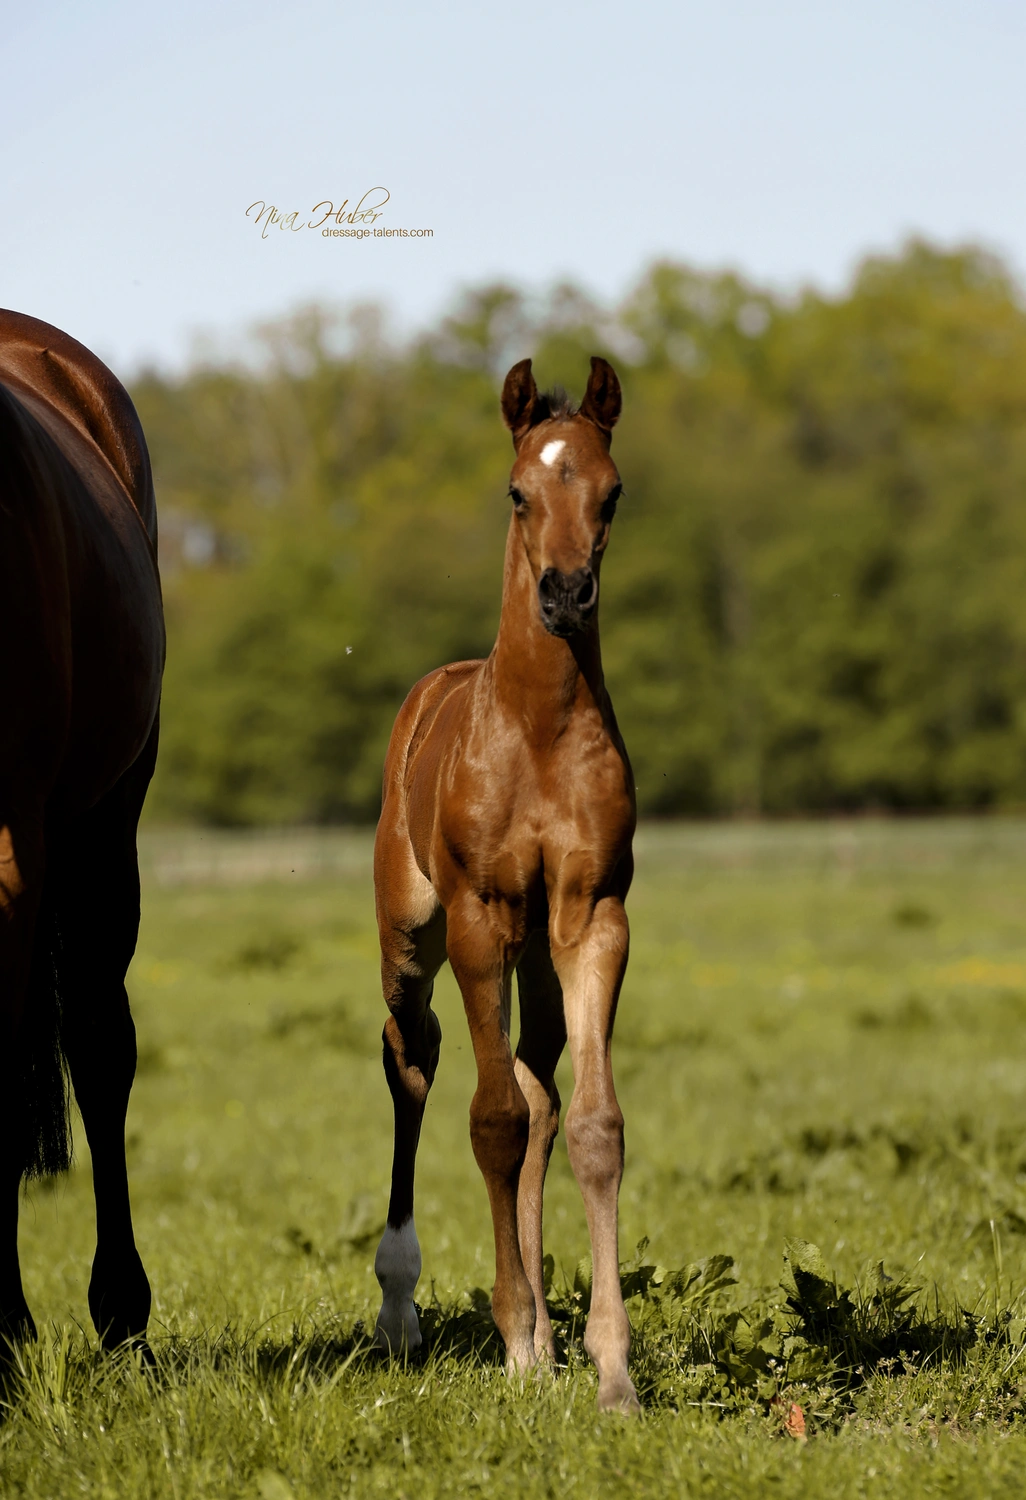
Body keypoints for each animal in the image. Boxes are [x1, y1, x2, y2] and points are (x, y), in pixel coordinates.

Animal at [372, 355, 639, 1412]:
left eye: (613, 492)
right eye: (519, 491)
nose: (566, 595)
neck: (539, 728)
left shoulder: (593, 918)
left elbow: (592, 1126)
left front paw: (609, 1368)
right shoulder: (482, 920)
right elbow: (491, 1122)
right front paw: (517, 1332)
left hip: (535, 956)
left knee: (541, 1093)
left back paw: (551, 1346)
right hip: (414, 936)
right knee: (414, 1061)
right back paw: (401, 1310)